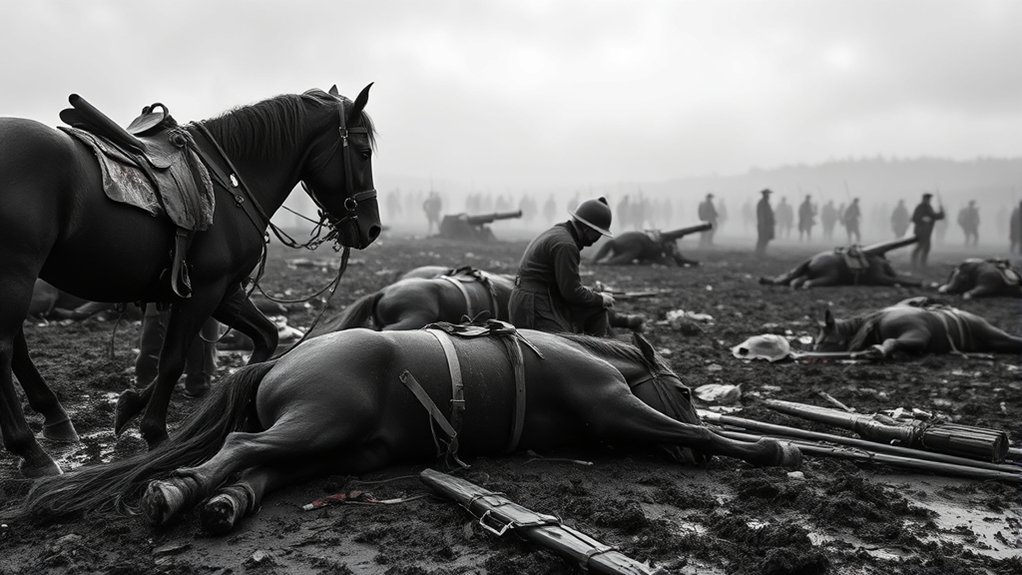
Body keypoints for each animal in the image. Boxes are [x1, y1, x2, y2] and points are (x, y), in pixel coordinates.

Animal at [0, 85, 381, 477]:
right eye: (364, 152)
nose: (372, 228)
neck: (228, 181)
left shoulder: (226, 292)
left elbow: (266, 336)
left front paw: (131, 404)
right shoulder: (205, 290)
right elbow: (173, 359)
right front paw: (155, 431)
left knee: (18, 349)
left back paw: (55, 419)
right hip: (16, 273)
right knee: (4, 350)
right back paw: (32, 452)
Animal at [6, 326, 800, 534]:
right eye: (688, 389)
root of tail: (279, 360)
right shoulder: (613, 405)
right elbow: (708, 435)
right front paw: (772, 446)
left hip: (342, 448)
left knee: (262, 470)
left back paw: (225, 504)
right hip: (322, 420)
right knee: (239, 450)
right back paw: (174, 493)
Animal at [759, 237, 921, 288]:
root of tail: (811, 259)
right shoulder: (879, 277)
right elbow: (900, 280)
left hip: (810, 273)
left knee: (795, 279)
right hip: (830, 275)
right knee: (808, 281)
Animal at [814, 297, 1022, 359]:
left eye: (823, 342)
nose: (814, 353)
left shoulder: (917, 332)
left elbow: (894, 341)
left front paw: (879, 350)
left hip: (986, 330)